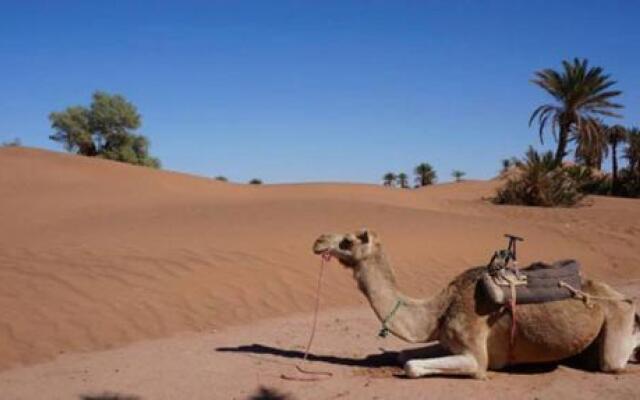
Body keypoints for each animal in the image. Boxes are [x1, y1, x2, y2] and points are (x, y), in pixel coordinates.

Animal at [312, 228, 640, 378]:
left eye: (348, 241)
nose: (318, 240)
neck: (439, 310)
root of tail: (618, 295)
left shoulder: (476, 356)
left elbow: (412, 366)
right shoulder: (448, 339)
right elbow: (403, 354)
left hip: (617, 316)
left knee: (614, 359)